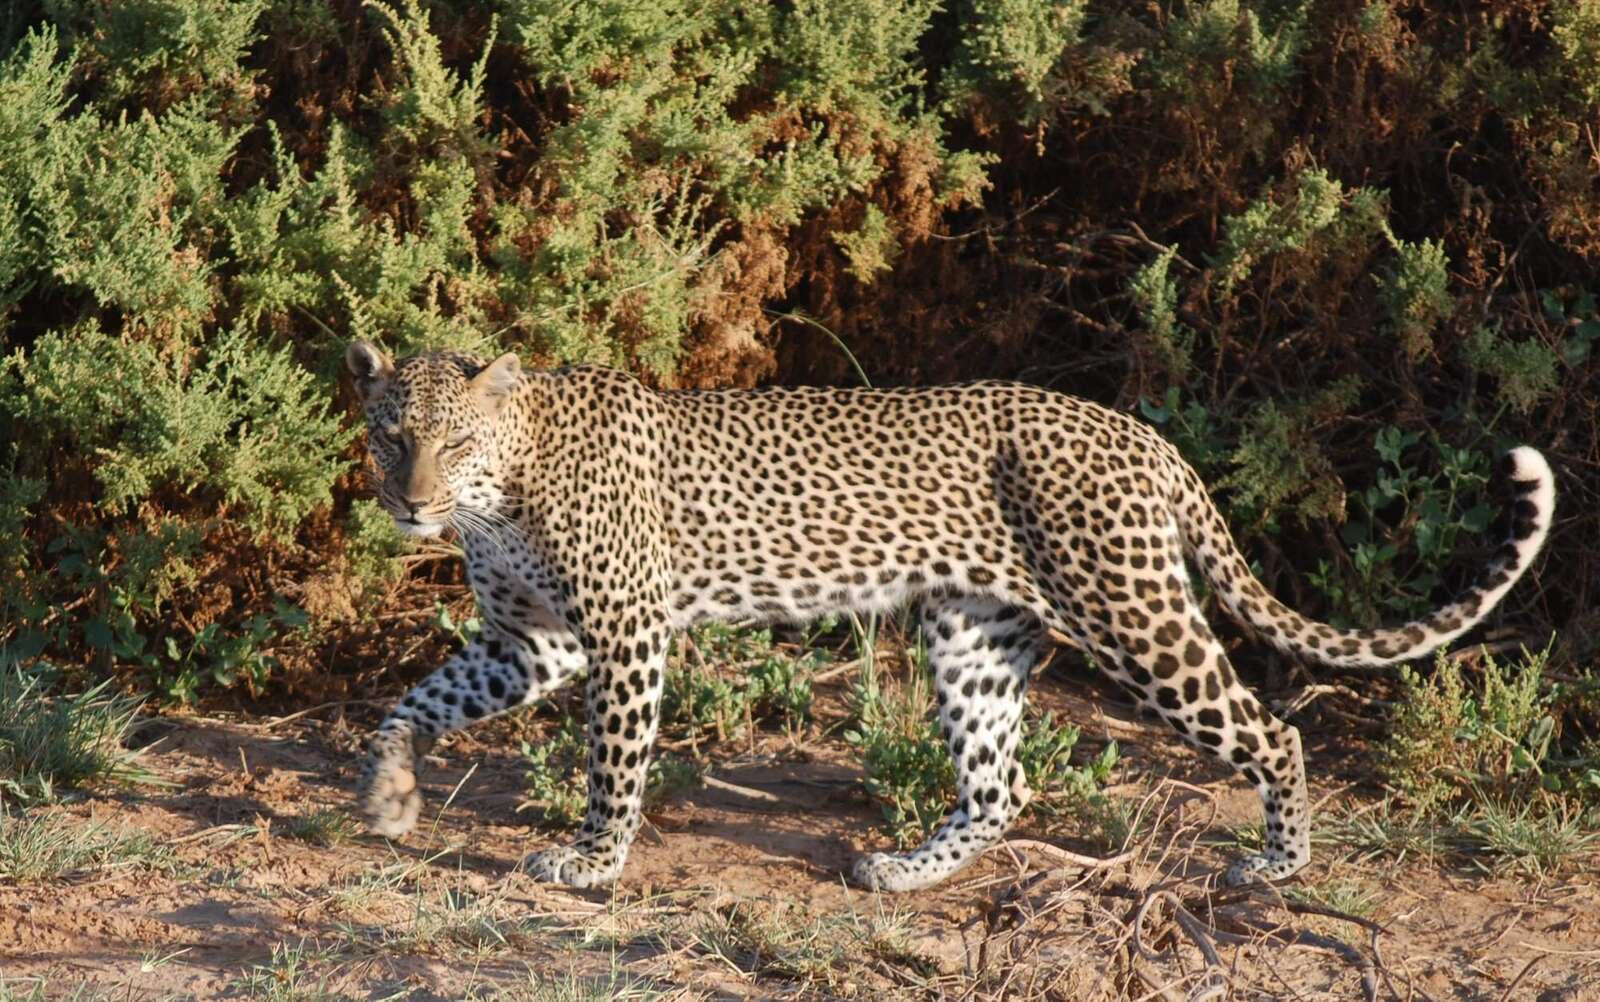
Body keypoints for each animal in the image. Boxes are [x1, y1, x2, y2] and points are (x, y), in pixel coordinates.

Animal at [340, 342, 1548, 889]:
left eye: (453, 440)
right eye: (390, 434)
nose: (409, 503)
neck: (503, 488)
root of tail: (1144, 435)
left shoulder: (625, 633)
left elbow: (612, 763)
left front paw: (592, 863)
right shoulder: (532, 642)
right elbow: (411, 704)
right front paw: (391, 800)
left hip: (1133, 614)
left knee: (1271, 730)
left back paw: (1278, 864)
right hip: (972, 631)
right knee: (1000, 782)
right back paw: (906, 870)